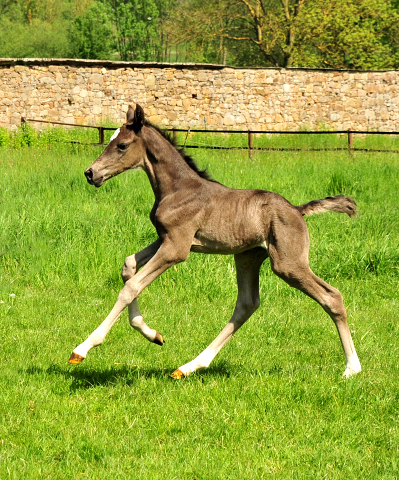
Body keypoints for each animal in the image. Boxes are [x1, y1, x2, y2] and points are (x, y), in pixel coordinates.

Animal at [69, 105, 362, 378]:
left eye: (122, 145)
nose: (90, 173)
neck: (178, 189)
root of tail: (298, 210)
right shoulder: (167, 238)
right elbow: (129, 267)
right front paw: (154, 335)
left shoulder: (177, 248)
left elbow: (131, 287)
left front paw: (82, 349)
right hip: (248, 256)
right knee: (246, 304)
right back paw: (189, 366)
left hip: (288, 263)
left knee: (331, 296)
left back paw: (352, 367)